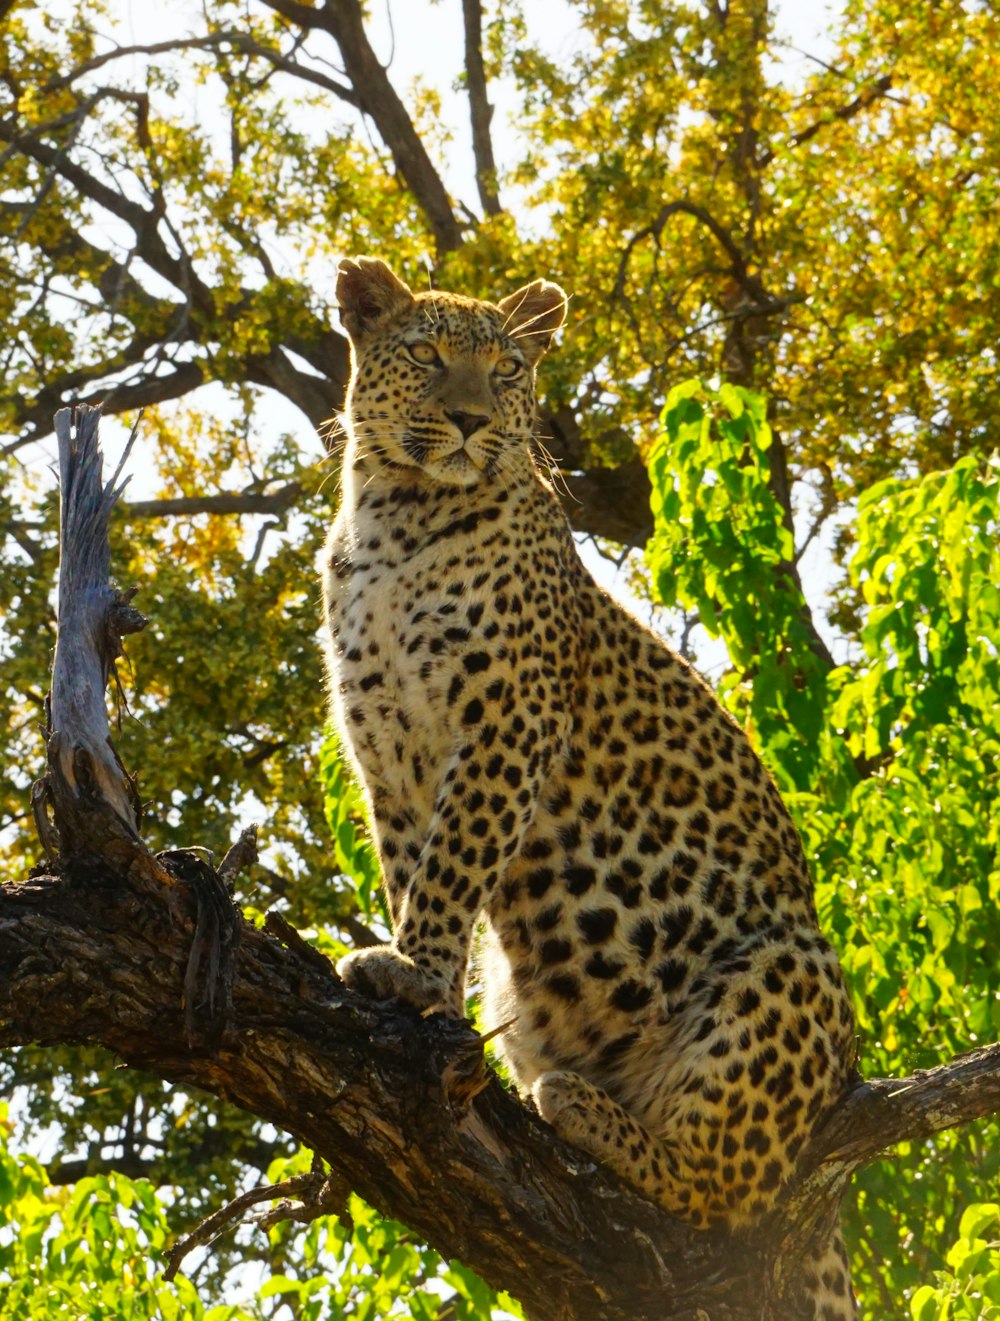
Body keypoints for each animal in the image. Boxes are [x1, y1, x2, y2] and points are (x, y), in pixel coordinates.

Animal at [322, 252, 856, 1315]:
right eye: (427, 355)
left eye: (509, 372)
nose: (472, 420)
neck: (398, 515)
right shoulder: (382, 745)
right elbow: (412, 867)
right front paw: (419, 973)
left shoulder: (505, 721)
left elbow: (451, 867)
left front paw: (416, 975)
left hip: (790, 972)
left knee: (721, 1193)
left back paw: (584, 1111)